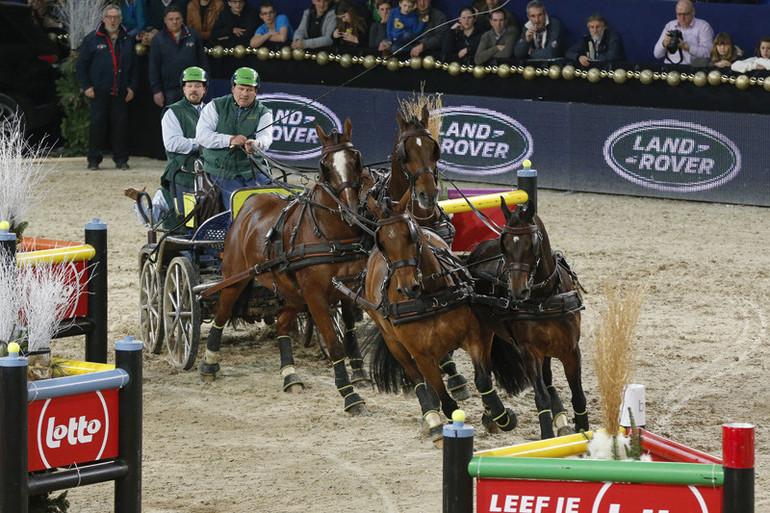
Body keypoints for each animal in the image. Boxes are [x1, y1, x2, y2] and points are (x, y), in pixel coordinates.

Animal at [200, 120, 370, 416]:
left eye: (356, 159)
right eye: (325, 165)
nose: (349, 207)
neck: (330, 235)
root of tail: (249, 203)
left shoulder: (349, 291)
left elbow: (349, 335)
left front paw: (359, 374)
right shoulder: (316, 298)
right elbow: (336, 346)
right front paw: (350, 396)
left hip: (293, 293)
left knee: (281, 325)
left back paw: (290, 375)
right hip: (234, 278)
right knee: (222, 313)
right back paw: (209, 364)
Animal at [352, 192, 520, 440]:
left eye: (411, 235)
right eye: (381, 241)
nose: (408, 287)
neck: (430, 296)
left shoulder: (476, 336)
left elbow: (483, 380)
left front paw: (500, 416)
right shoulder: (421, 355)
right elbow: (442, 395)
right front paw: (437, 423)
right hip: (394, 342)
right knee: (416, 377)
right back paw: (429, 415)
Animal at [464, 198, 584, 438]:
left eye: (532, 243)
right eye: (505, 244)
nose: (517, 291)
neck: (545, 298)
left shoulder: (571, 350)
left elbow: (578, 396)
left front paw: (582, 429)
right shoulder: (530, 352)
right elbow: (541, 397)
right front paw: (546, 438)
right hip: (484, 332)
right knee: (483, 375)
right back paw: (495, 416)